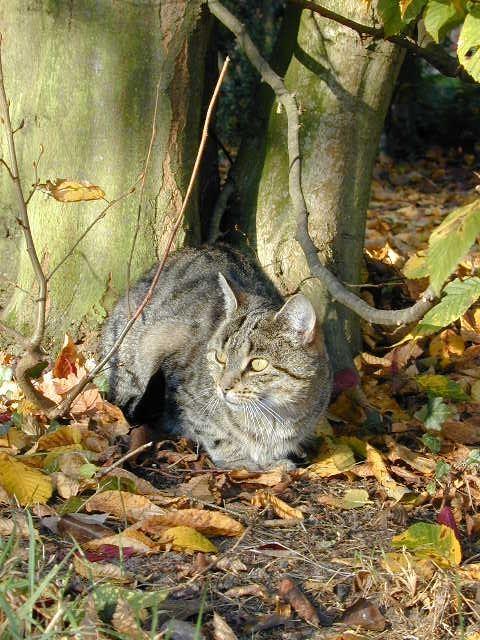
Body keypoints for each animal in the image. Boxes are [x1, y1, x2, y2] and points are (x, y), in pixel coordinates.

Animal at [102, 245, 332, 470]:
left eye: (258, 364)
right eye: (220, 357)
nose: (223, 387)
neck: (276, 415)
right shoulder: (184, 387)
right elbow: (216, 435)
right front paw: (240, 462)